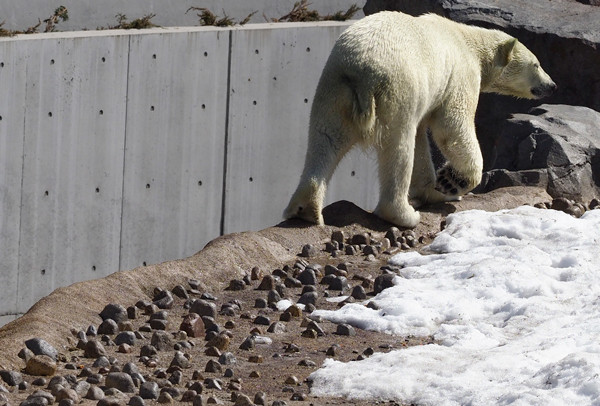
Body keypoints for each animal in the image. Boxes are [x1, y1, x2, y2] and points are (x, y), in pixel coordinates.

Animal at [284, 11, 556, 227]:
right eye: (536, 64)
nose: (551, 85)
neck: (469, 41)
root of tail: (362, 71)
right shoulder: (460, 74)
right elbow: (452, 127)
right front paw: (452, 184)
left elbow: (422, 137)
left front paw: (436, 191)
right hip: (397, 89)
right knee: (398, 148)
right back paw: (404, 215)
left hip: (334, 88)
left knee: (325, 140)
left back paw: (305, 209)